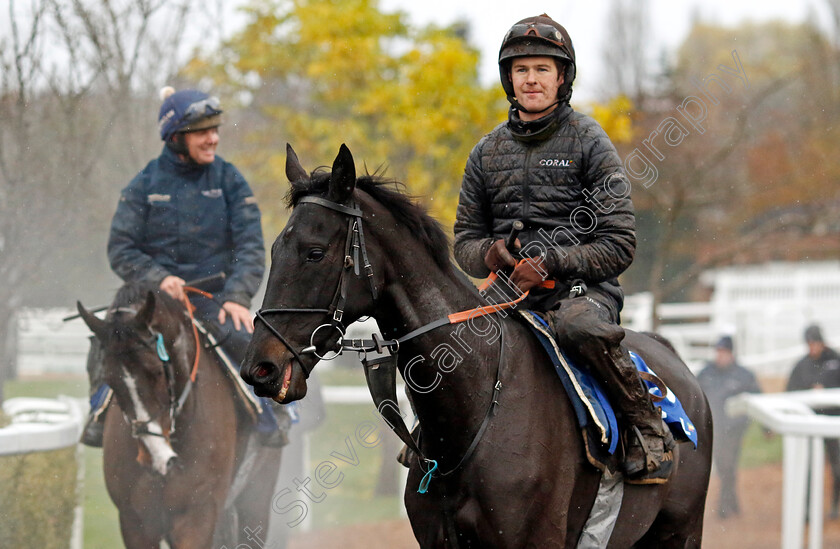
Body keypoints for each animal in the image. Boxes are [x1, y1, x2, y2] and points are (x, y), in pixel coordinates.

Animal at [76, 282, 278, 548]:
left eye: (155, 371)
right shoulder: (135, 521)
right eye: (111, 381)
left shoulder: (198, 514)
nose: (155, 457)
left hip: (257, 498)